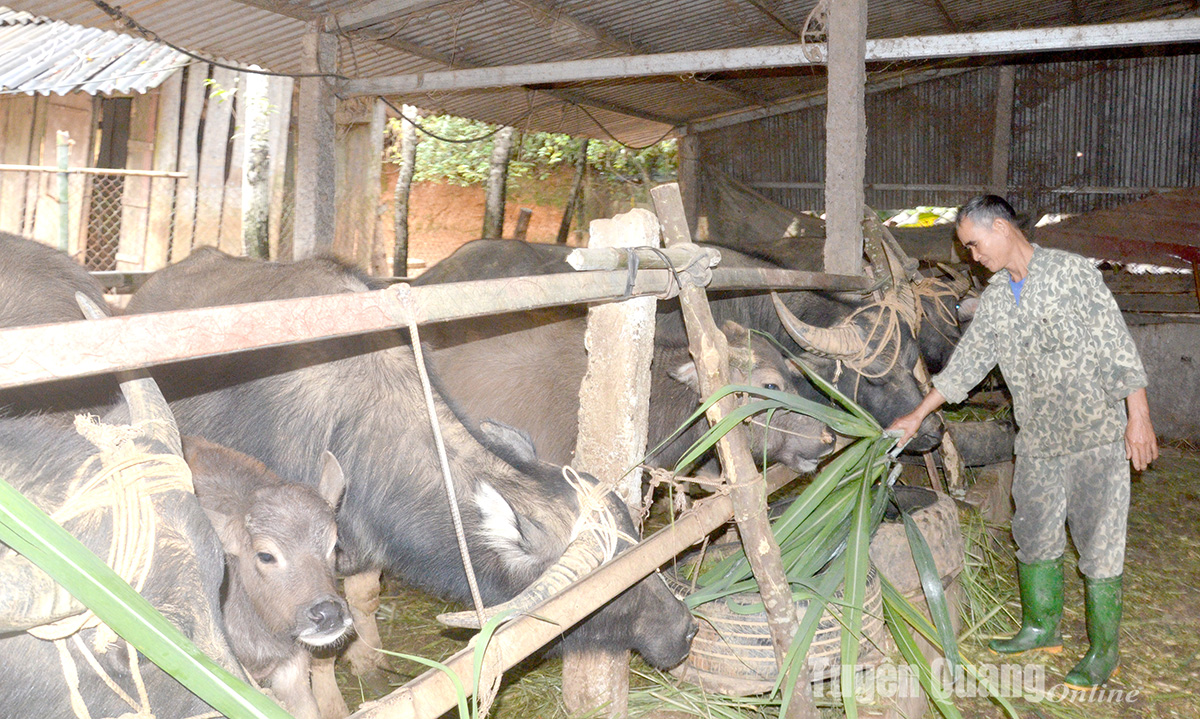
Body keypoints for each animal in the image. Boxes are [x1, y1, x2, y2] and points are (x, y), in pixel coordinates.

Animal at [124, 248, 696, 676]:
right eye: (604, 582)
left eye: (637, 540)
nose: (685, 629)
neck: (357, 424)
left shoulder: (359, 552)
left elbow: (364, 601)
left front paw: (371, 663)